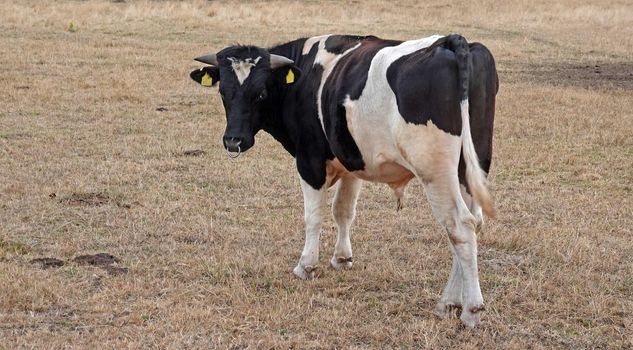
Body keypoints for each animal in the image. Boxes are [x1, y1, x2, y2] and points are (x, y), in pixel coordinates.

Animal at [190, 34, 496, 326]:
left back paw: (470, 310)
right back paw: (449, 303)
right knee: (470, 226)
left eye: (261, 93)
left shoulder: (309, 163)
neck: (305, 76)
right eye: (223, 91)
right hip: (468, 170)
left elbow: (314, 216)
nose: (233, 140)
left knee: (460, 228)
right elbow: (343, 212)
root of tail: (452, 41)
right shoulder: (351, 162)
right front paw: (341, 258)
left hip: (437, 174)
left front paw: (306, 265)